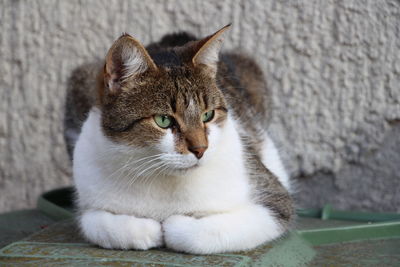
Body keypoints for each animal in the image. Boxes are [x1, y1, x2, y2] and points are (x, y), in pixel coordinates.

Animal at [66, 24, 294, 255]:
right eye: (163, 120)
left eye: (208, 115)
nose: (201, 149)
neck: (161, 179)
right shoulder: (89, 202)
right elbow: (100, 224)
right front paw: (147, 229)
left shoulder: (275, 200)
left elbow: (201, 232)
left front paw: (172, 226)